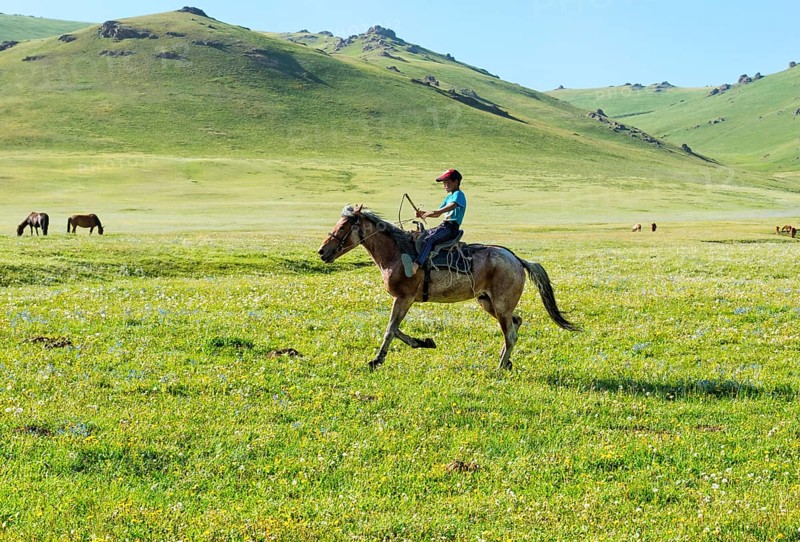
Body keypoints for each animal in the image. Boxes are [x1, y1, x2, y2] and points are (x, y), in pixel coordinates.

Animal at [317, 205, 579, 370]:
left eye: (343, 227)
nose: (321, 251)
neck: (397, 253)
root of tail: (517, 259)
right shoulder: (404, 299)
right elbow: (396, 329)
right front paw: (425, 342)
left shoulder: (403, 298)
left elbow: (390, 329)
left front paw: (376, 360)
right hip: (488, 303)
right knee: (516, 323)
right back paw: (506, 362)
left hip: (501, 306)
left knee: (511, 334)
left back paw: (499, 367)